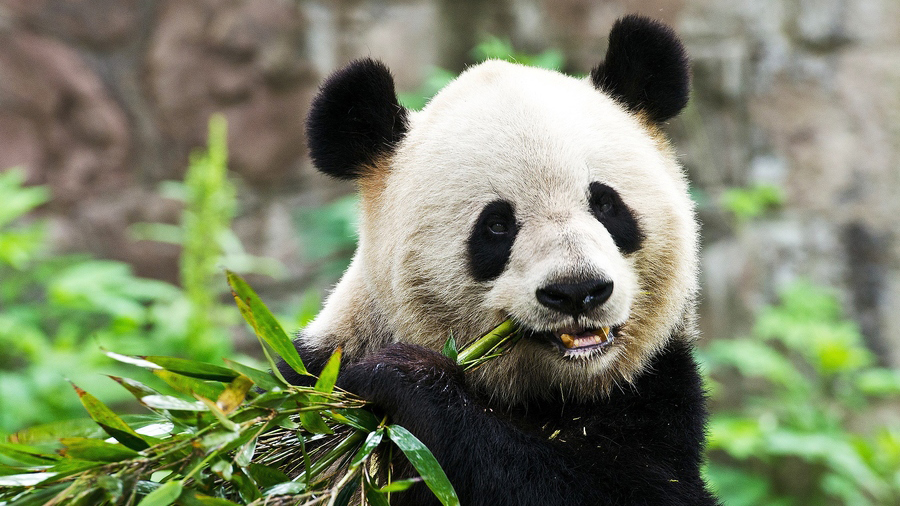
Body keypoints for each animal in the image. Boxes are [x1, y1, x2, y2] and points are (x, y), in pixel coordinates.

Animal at [282, 14, 716, 506]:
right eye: (495, 226)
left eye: (606, 204)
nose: (577, 291)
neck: (558, 393)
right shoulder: (315, 377)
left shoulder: (657, 394)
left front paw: (404, 375)